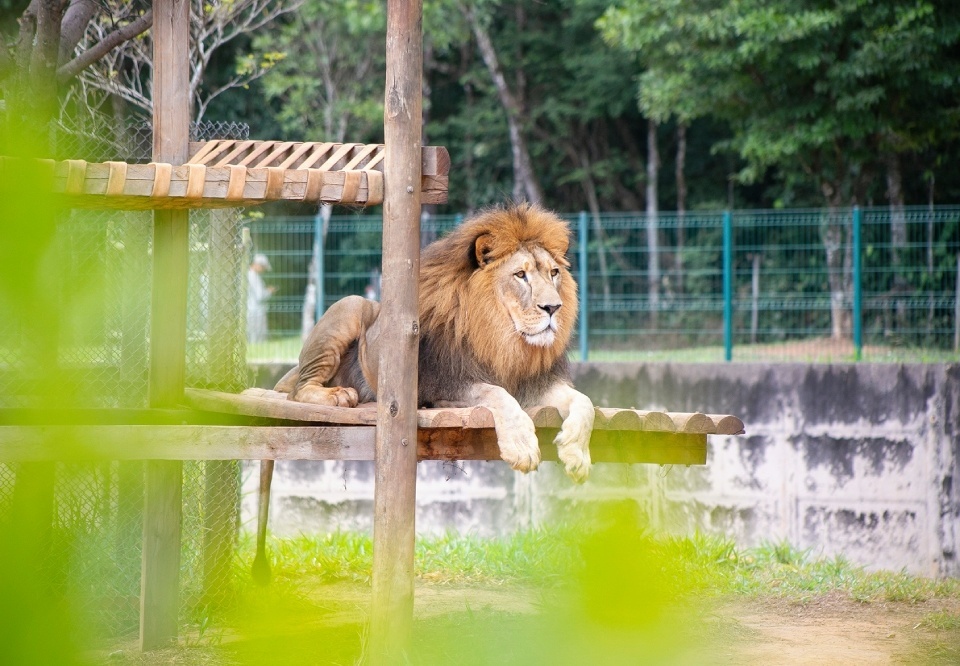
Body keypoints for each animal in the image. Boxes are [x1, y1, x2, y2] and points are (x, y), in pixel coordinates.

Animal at [270, 200, 596, 480]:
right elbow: (497, 394)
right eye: (520, 275)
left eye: (553, 273)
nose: (553, 307)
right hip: (350, 305)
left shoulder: (536, 383)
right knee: (298, 391)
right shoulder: (443, 385)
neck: (502, 340)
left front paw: (576, 452)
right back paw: (338, 395)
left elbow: (585, 402)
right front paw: (522, 446)